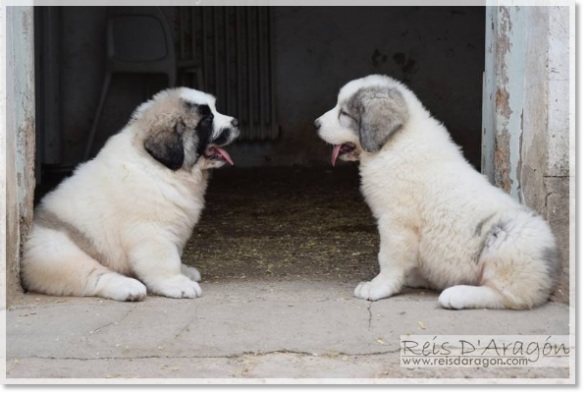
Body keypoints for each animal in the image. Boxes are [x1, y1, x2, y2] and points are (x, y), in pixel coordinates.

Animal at [21, 88, 238, 302]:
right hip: (61, 255)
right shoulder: (151, 230)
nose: (236, 122)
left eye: (215, 109)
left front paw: (183, 271)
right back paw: (128, 287)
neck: (161, 168)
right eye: (207, 120)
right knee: (93, 276)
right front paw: (176, 283)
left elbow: (175, 254)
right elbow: (164, 260)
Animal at [314, 74, 556, 310]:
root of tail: (551, 269)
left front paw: (377, 287)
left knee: (507, 295)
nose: (316, 123)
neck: (395, 142)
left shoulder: (395, 221)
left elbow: (388, 257)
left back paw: (455, 295)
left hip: (506, 243)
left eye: (344, 113)